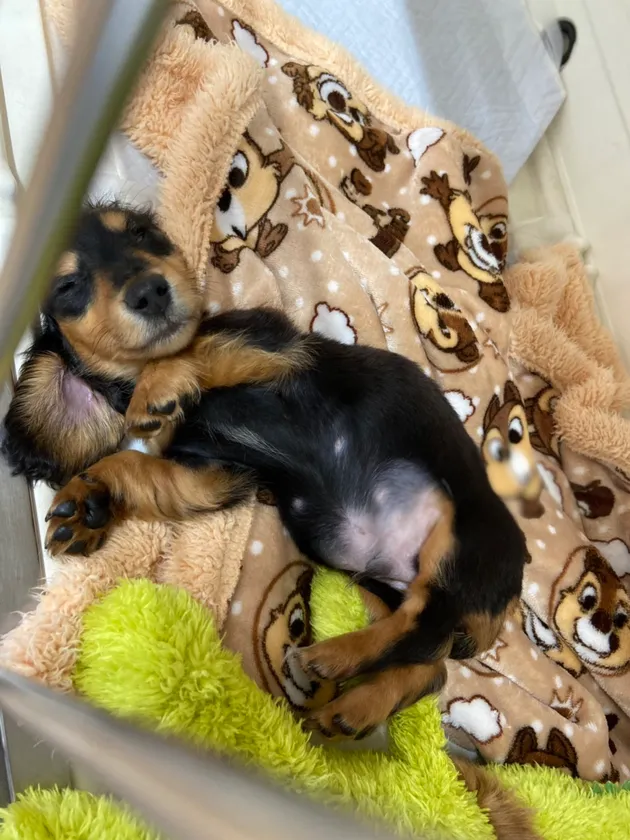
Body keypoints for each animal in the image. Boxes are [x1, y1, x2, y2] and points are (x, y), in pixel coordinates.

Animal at [2, 202, 528, 741]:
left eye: (144, 235)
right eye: (68, 285)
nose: (149, 291)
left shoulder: (270, 347)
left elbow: (189, 349)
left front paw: (158, 387)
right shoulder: (215, 475)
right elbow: (136, 462)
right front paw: (89, 499)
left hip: (461, 544)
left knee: (423, 631)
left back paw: (329, 658)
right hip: (378, 580)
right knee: (431, 662)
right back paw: (355, 708)